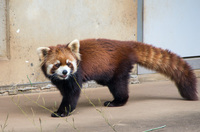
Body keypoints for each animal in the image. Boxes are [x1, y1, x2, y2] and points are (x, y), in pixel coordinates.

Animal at [36, 38, 198, 117]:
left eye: (69, 64)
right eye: (57, 65)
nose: (64, 72)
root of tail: (127, 44)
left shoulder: (76, 74)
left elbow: (72, 94)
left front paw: (62, 112)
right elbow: (65, 91)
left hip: (118, 66)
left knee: (119, 85)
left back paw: (117, 101)